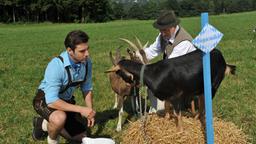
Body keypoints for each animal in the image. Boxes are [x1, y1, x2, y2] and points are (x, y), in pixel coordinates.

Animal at [106, 48, 236, 132]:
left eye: (119, 72)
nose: (128, 85)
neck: (152, 73)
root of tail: (221, 57)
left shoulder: (176, 96)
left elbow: (177, 114)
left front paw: (180, 131)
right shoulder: (166, 96)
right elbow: (167, 108)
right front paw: (166, 121)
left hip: (214, 85)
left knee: (206, 102)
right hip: (200, 87)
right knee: (201, 100)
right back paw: (196, 117)